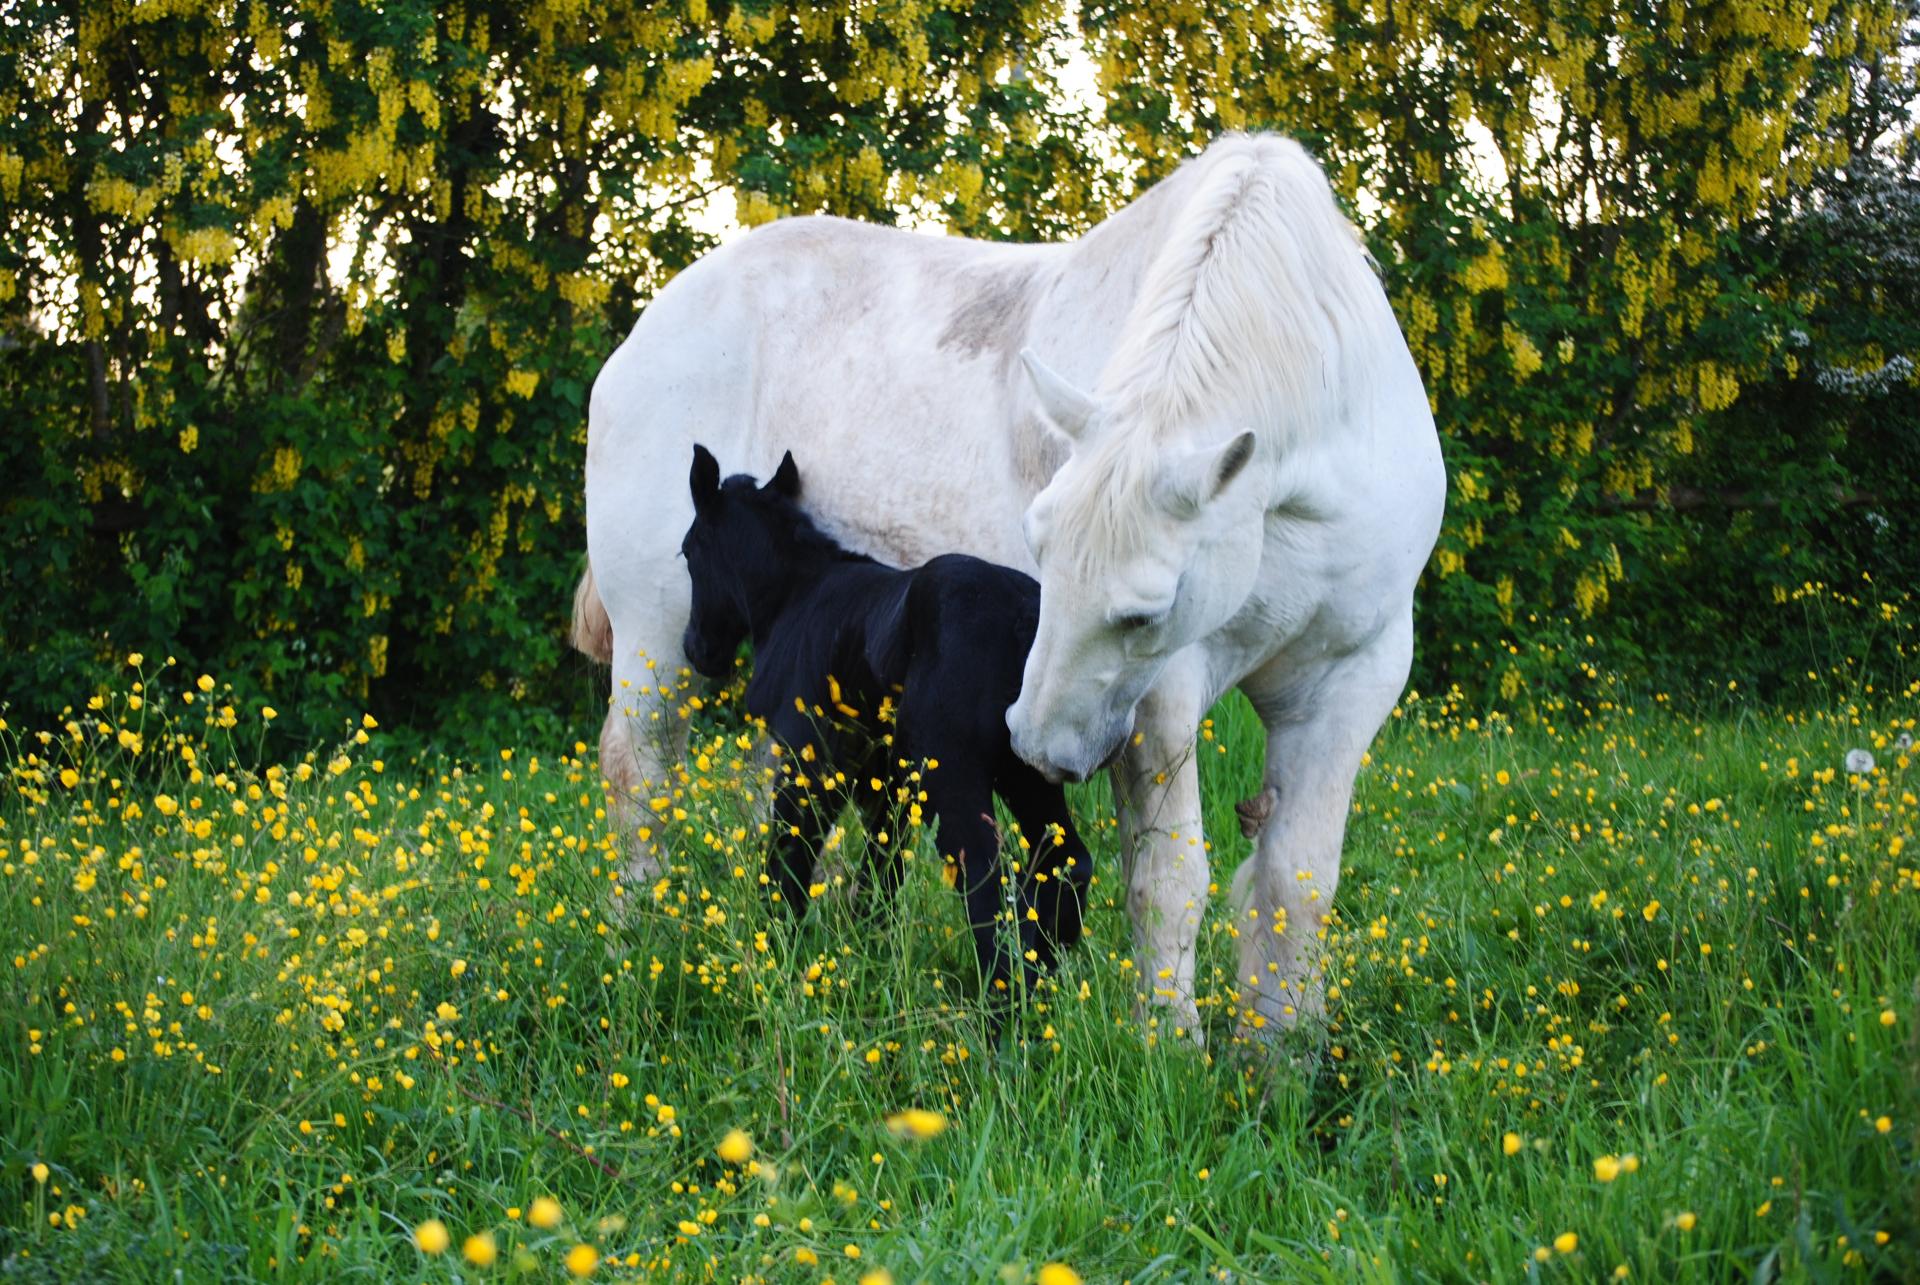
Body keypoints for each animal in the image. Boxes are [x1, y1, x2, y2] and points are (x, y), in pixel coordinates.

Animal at [683, 445, 1090, 998]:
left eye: (687, 552)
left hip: (953, 769)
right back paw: (1045, 983)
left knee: (984, 880)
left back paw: (1003, 1009)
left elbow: (789, 856)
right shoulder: (885, 780)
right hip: (1025, 768)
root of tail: (1022, 620)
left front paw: (776, 950)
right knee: (1065, 860)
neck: (791, 597)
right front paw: (868, 952)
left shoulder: (809, 763)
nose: (696, 650)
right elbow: (881, 867)